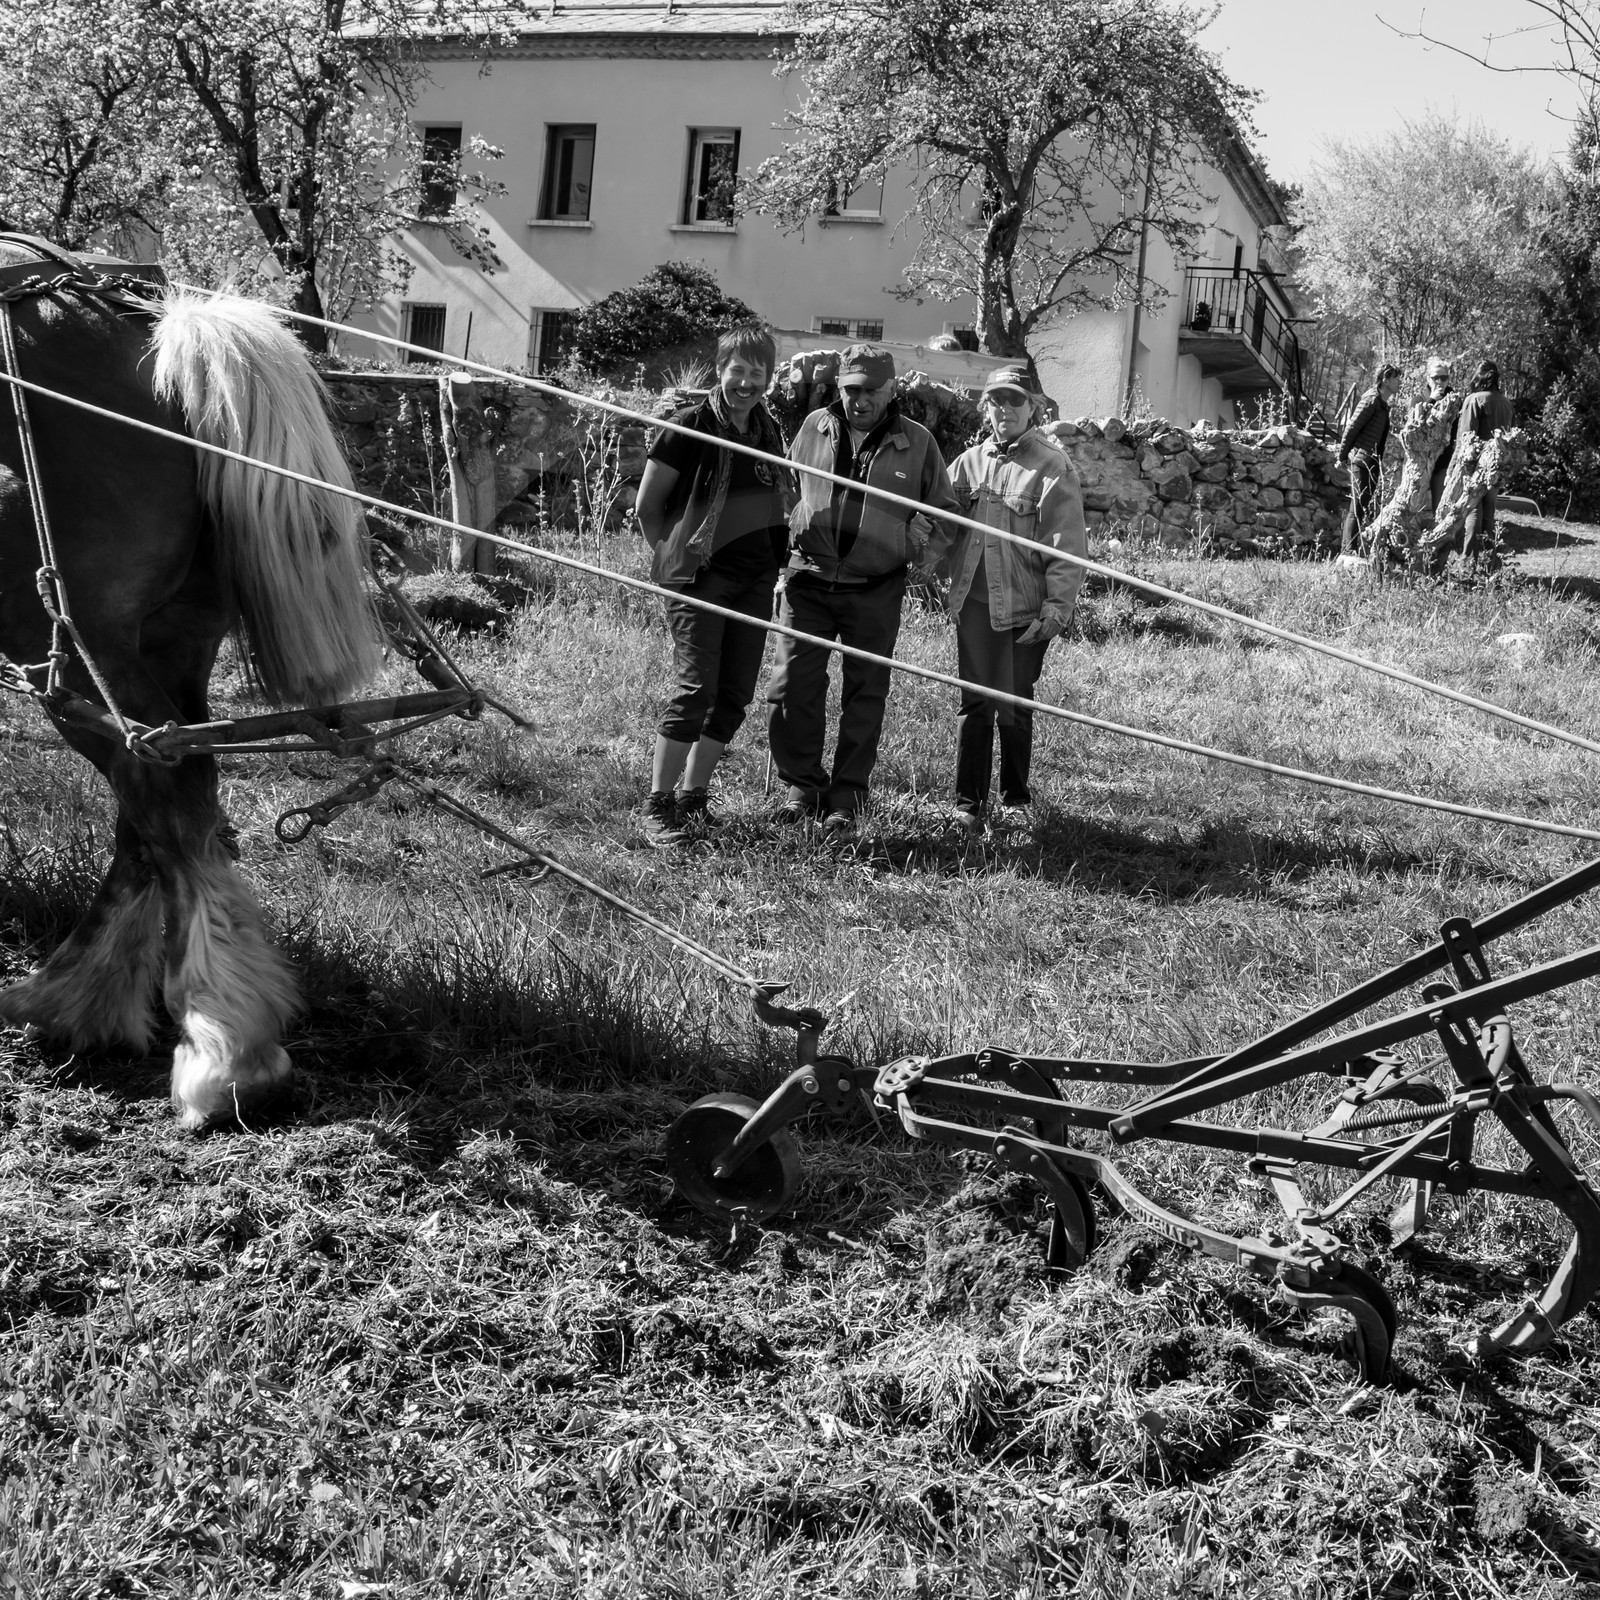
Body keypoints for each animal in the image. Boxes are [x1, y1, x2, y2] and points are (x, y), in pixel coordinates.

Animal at [0, 238, 381, 1129]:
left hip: (70, 642)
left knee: (158, 789)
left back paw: (223, 1046)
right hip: (174, 640)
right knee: (168, 792)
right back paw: (80, 997)